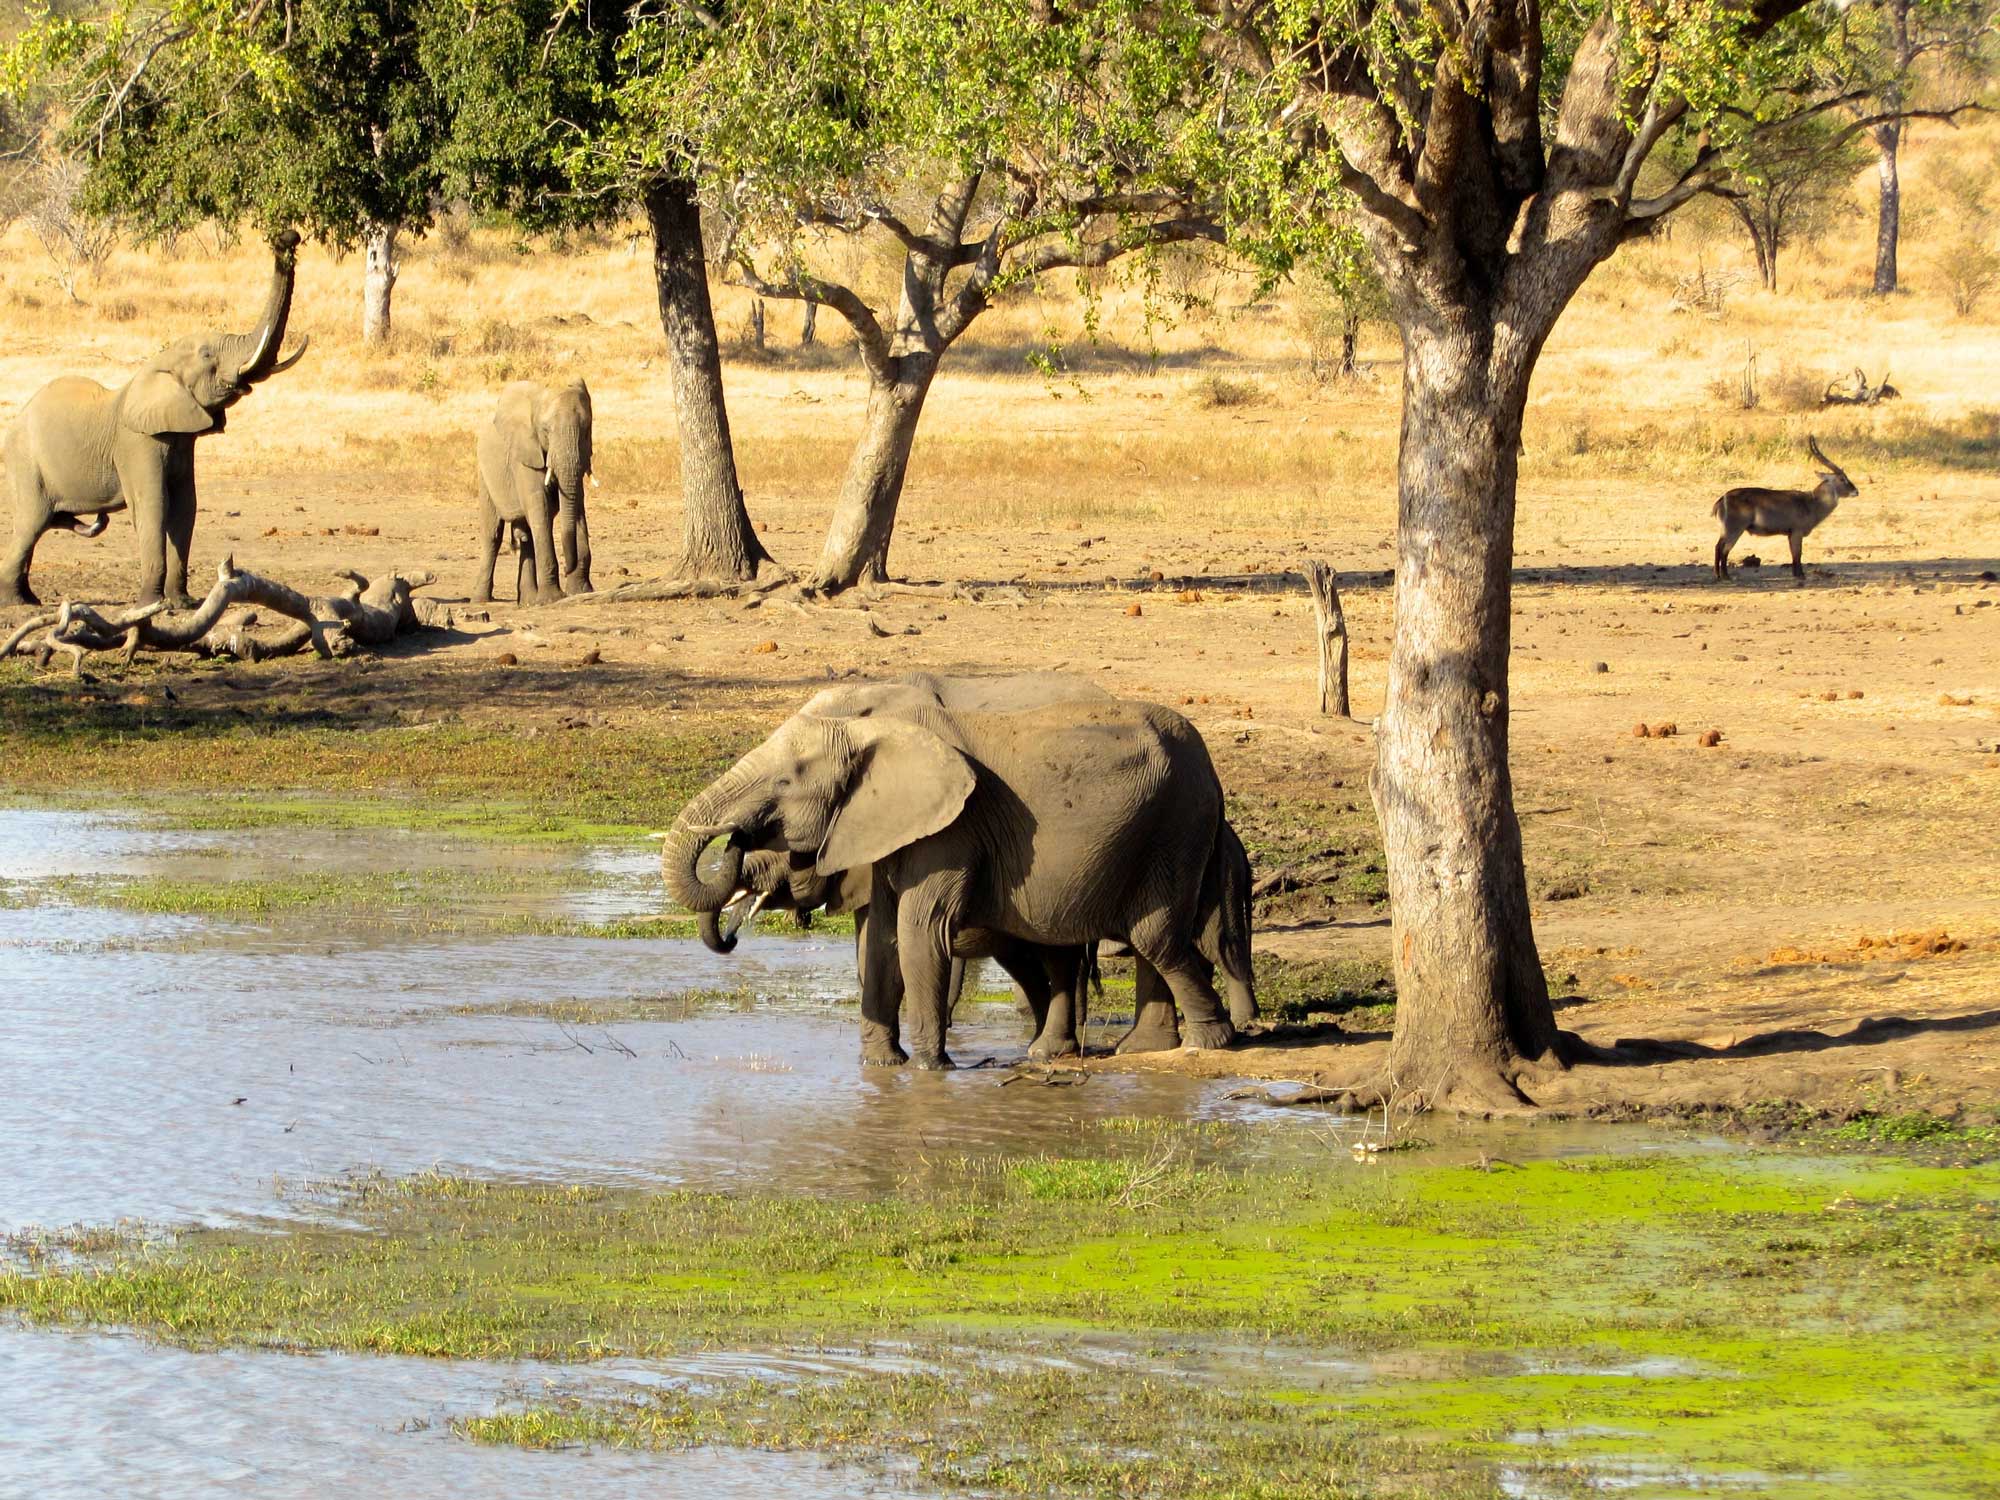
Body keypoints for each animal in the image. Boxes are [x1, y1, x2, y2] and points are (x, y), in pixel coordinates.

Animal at [2, 231, 309, 607]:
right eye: (207, 354)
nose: (288, 237)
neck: (156, 365)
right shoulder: (137, 443)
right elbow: (154, 507)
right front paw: (151, 604)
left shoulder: (181, 439)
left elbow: (185, 508)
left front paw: (183, 603)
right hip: (26, 464)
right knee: (30, 523)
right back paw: (16, 603)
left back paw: (28, 599)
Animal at [473, 378, 594, 605]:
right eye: (546, 430)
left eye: (586, 430)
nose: (567, 568)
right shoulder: (524, 454)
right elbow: (540, 508)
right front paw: (552, 599)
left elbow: (578, 506)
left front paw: (582, 592)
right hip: (485, 475)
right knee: (492, 535)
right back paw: (481, 600)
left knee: (525, 535)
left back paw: (528, 601)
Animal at [662, 676, 1242, 1069]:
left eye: (785, 782)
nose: (737, 837)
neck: (873, 727)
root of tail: (1212, 765)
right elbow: (882, 937)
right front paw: (881, 1067)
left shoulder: (953, 827)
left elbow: (920, 930)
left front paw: (929, 1071)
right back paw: (1080, 1052)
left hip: (1176, 823)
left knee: (1154, 933)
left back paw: (1204, 1044)